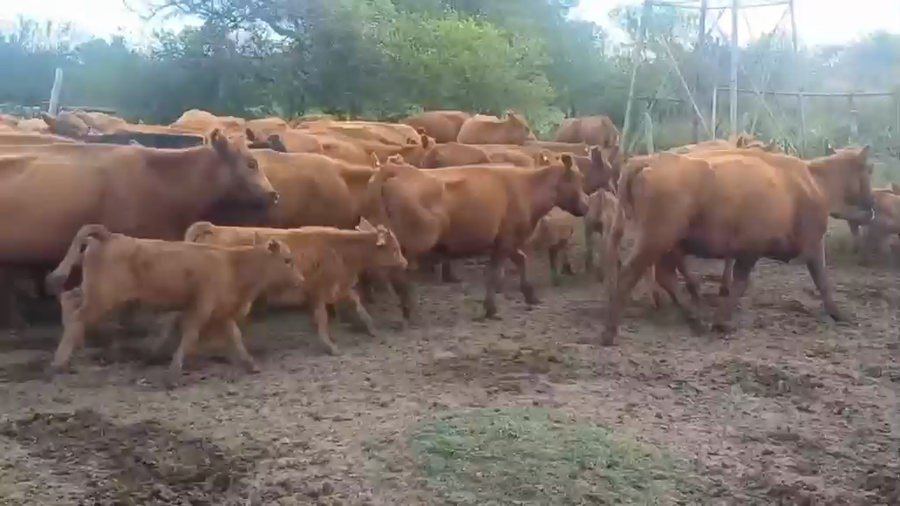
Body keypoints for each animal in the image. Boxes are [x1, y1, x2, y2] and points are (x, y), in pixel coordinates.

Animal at [43, 224, 303, 386]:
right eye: (287, 260)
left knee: (70, 301)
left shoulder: (221, 312)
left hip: (93, 291)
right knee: (78, 316)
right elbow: (189, 336)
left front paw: (250, 364)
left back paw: (71, 353)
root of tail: (111, 236)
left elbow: (235, 337)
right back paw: (58, 362)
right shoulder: (201, 307)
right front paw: (172, 374)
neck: (232, 264)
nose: (301, 280)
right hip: (103, 297)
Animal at [182, 220, 407, 356]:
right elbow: (322, 317)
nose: (405, 264)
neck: (340, 249)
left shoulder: (339, 287)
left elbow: (358, 304)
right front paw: (329, 345)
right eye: (395, 249)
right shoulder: (319, 289)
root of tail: (214, 227)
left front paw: (372, 328)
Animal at [364, 154, 589, 320]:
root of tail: (397, 170)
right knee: (399, 275)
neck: (527, 187)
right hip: (411, 243)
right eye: (579, 180)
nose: (586, 206)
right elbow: (495, 274)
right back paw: (409, 311)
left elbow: (520, 260)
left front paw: (530, 295)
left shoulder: (504, 242)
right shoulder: (506, 241)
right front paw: (491, 308)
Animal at [603, 146, 874, 345]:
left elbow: (738, 282)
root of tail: (649, 161)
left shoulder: (748, 252)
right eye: (868, 170)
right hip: (656, 241)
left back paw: (695, 318)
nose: (871, 207)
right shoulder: (807, 245)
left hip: (666, 245)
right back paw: (610, 332)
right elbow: (821, 281)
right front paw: (839, 314)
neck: (812, 180)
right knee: (630, 275)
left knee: (665, 277)